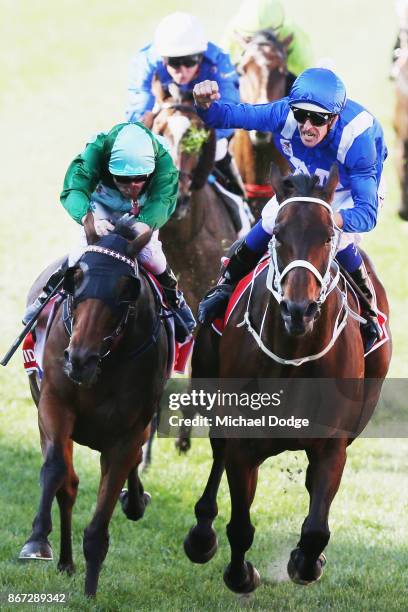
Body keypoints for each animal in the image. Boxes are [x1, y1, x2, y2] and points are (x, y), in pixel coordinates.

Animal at [18, 213, 169, 596]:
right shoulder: (54, 403)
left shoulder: (127, 434)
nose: (79, 359)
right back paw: (65, 561)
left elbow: (100, 523)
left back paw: (134, 501)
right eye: (75, 281)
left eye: (126, 289)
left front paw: (90, 589)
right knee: (68, 485)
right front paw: (37, 541)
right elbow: (56, 470)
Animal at [184, 166, 392, 592]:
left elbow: (316, 528)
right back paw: (201, 535)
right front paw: (241, 574)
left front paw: (305, 562)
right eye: (278, 235)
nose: (299, 309)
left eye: (328, 236)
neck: (295, 357)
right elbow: (240, 525)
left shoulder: (333, 444)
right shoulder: (243, 444)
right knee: (217, 454)